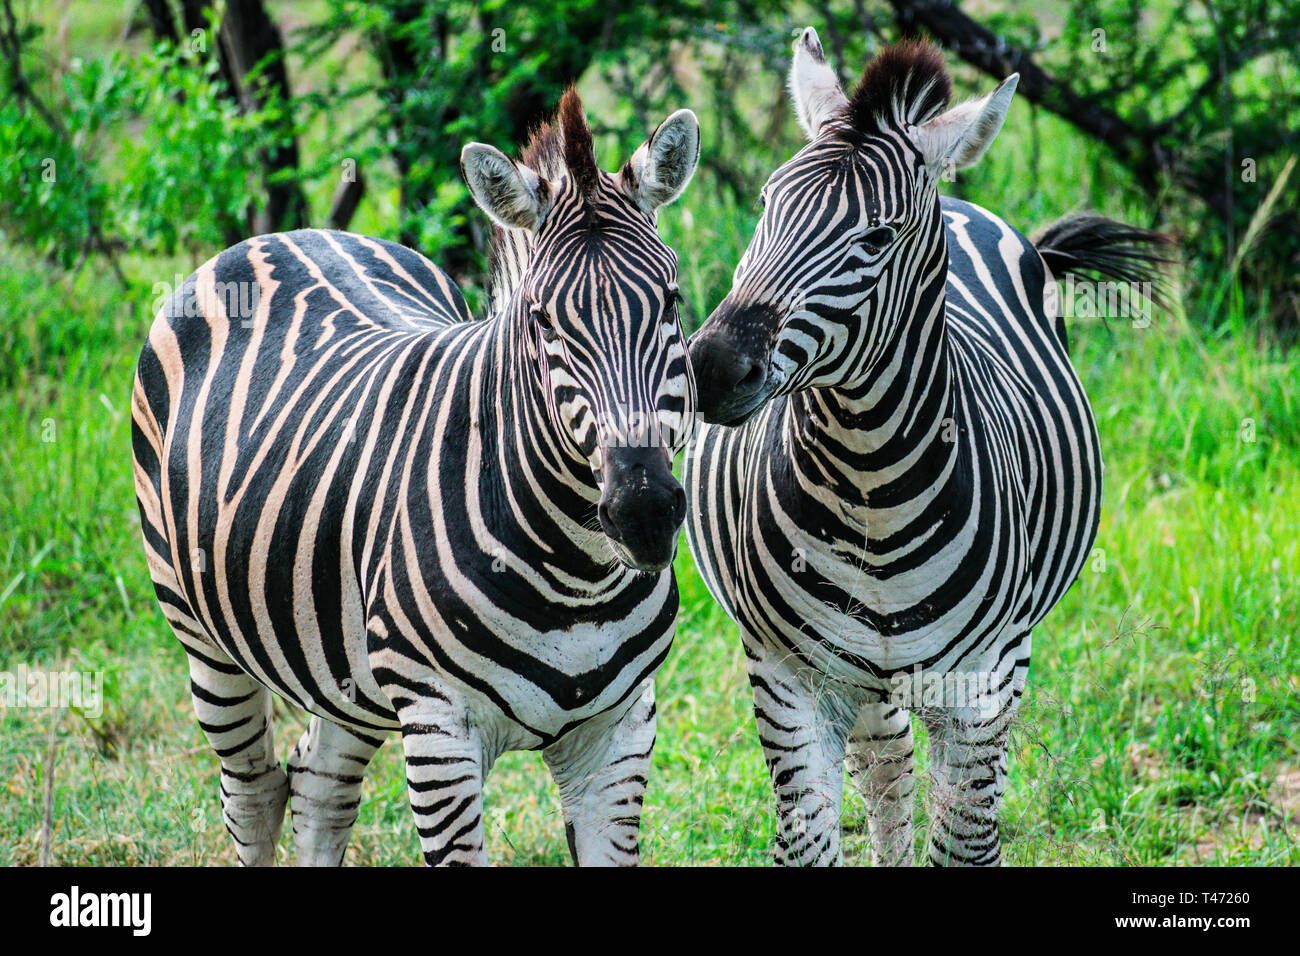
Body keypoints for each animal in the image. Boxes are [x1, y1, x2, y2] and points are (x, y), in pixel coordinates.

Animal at [131, 91, 702, 868]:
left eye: (671, 301)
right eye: (542, 318)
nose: (642, 509)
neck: (576, 575)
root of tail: (283, 234)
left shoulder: (620, 734)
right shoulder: (438, 732)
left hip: (343, 662)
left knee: (319, 785)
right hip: (203, 635)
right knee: (251, 795)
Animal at [681, 31, 1170, 868]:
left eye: (875, 237)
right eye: (766, 206)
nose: (712, 368)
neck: (872, 483)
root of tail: (963, 200)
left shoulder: (981, 686)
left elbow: (967, 841)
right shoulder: (790, 678)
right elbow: (810, 838)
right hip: (860, 678)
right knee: (886, 771)